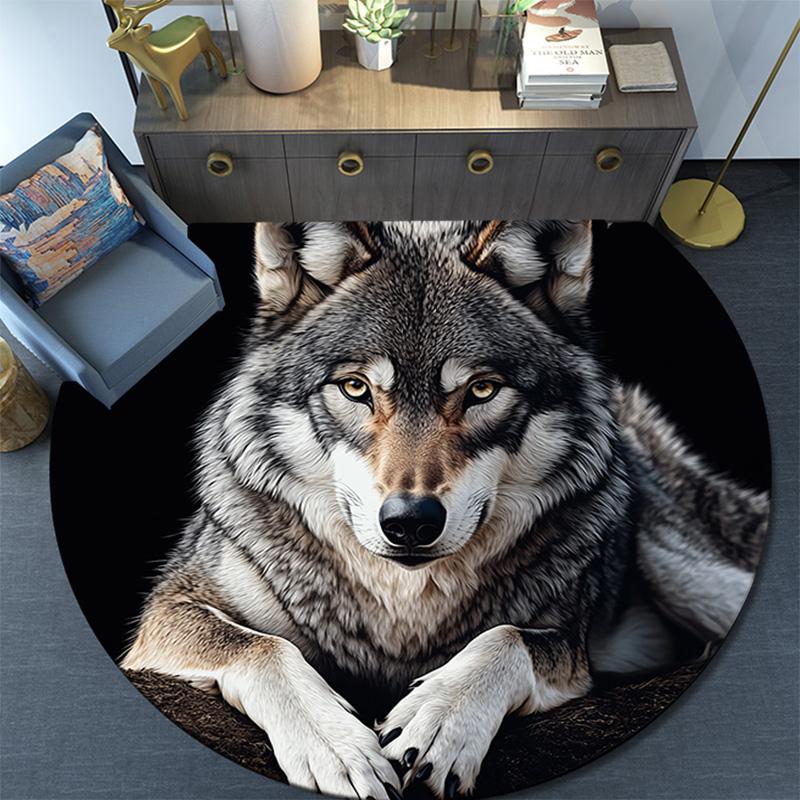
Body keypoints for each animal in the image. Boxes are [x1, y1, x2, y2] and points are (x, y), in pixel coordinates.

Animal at [122, 221, 768, 800]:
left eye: (481, 390)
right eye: (356, 389)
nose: (410, 521)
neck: (403, 609)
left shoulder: (571, 646)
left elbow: (506, 637)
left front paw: (439, 723)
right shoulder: (166, 611)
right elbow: (264, 646)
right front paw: (338, 747)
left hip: (690, 578)